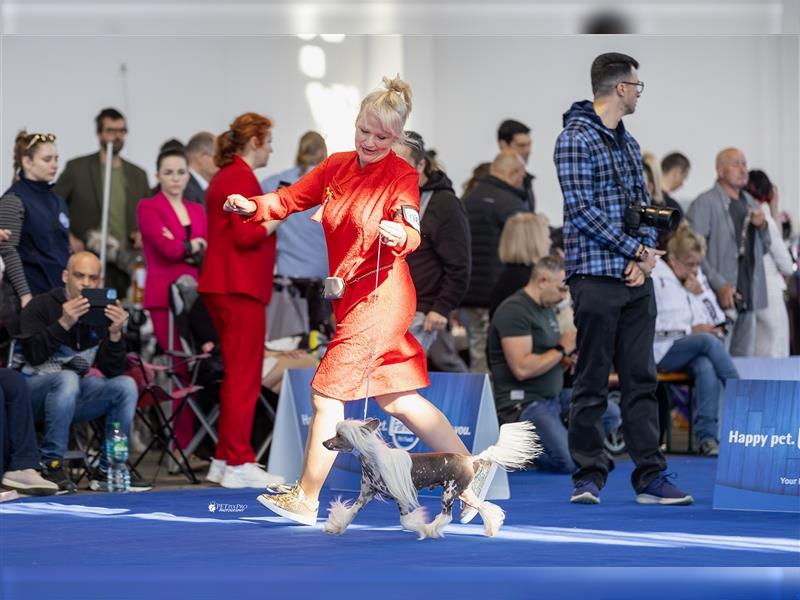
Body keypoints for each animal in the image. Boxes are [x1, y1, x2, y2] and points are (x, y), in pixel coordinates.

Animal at [322, 420, 540, 540]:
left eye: (339, 435)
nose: (324, 442)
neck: (374, 461)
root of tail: (470, 458)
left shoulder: (401, 498)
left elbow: (405, 520)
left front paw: (420, 528)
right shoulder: (364, 496)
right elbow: (350, 514)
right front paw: (336, 527)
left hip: (450, 492)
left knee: (447, 515)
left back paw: (430, 529)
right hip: (464, 492)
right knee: (484, 507)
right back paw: (492, 528)